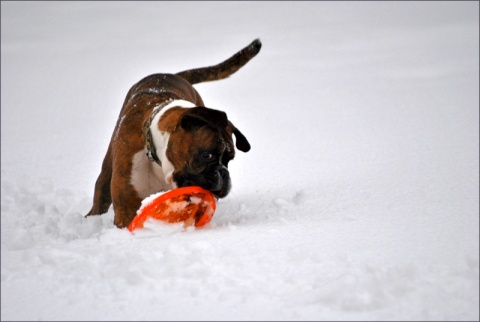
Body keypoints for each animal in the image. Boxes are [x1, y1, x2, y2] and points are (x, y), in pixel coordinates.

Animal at [84, 39, 260, 228]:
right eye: (207, 155)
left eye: (230, 159)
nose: (224, 173)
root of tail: (170, 74)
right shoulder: (126, 208)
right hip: (107, 170)